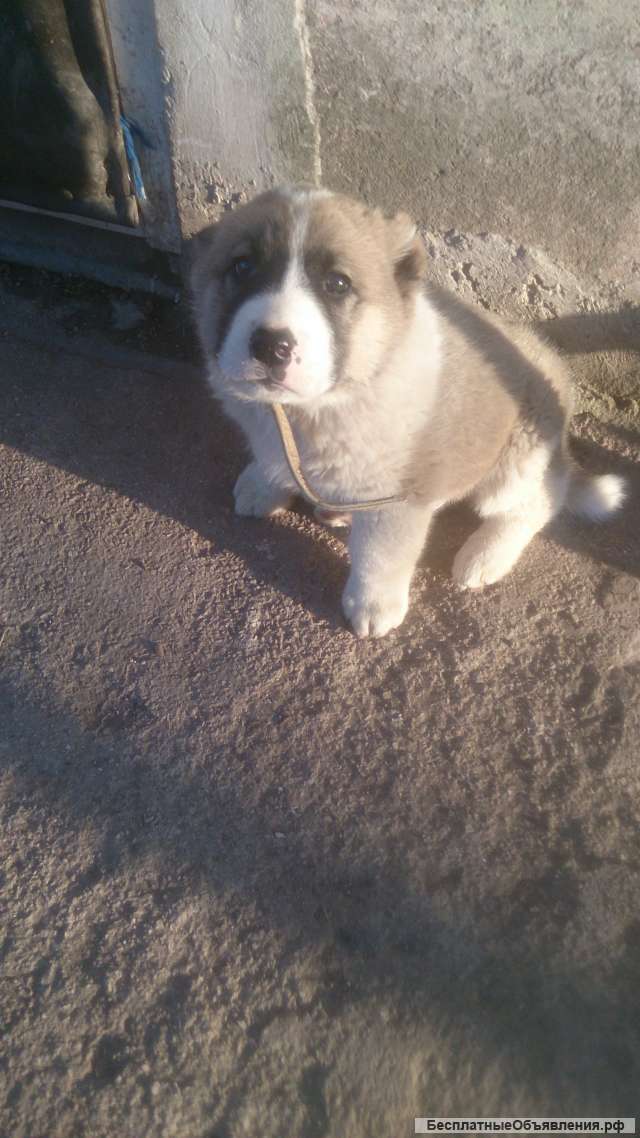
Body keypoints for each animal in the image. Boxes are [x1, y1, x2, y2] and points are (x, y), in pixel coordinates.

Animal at [190, 186, 625, 637]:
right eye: (242, 267)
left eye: (337, 284)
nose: (270, 345)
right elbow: (272, 456)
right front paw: (263, 483)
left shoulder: (395, 498)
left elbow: (379, 555)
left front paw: (372, 605)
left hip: (517, 462)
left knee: (537, 503)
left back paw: (484, 557)